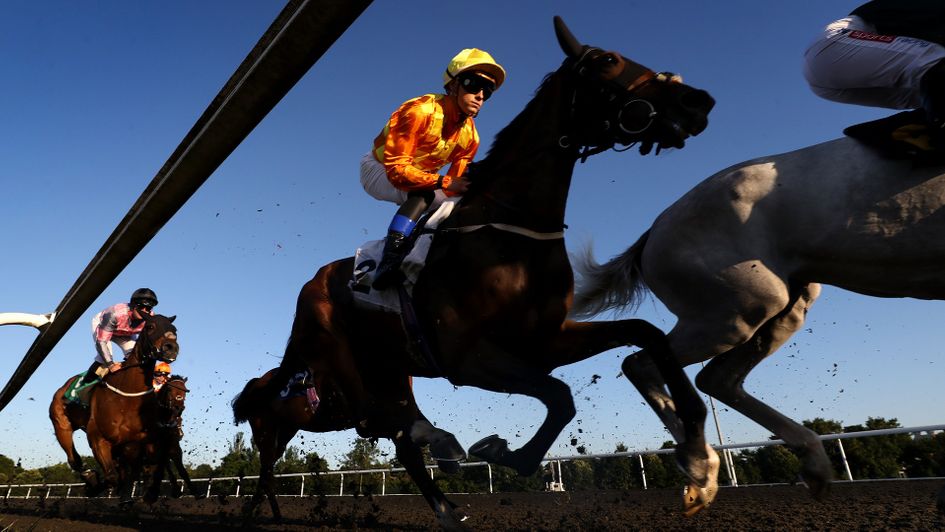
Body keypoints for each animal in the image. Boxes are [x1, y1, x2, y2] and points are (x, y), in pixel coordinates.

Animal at [48, 312, 180, 502]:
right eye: (150, 326)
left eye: (174, 330)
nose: (171, 348)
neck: (127, 394)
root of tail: (62, 388)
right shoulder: (98, 438)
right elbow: (112, 477)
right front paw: (94, 484)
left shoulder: (138, 443)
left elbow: (136, 473)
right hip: (61, 425)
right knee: (74, 459)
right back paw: (90, 478)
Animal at [238, 16, 716, 528]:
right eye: (608, 60)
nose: (697, 102)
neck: (512, 234)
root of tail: (311, 284)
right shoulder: (467, 358)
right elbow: (560, 396)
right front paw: (501, 451)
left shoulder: (545, 341)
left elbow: (645, 333)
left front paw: (698, 459)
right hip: (340, 361)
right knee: (376, 421)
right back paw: (437, 443)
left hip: (389, 368)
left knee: (393, 427)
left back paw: (444, 484)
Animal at [572, 131, 945, 510]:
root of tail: (653, 231)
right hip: (740, 308)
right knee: (644, 363)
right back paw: (700, 462)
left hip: (786, 304)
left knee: (714, 377)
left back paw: (801, 460)